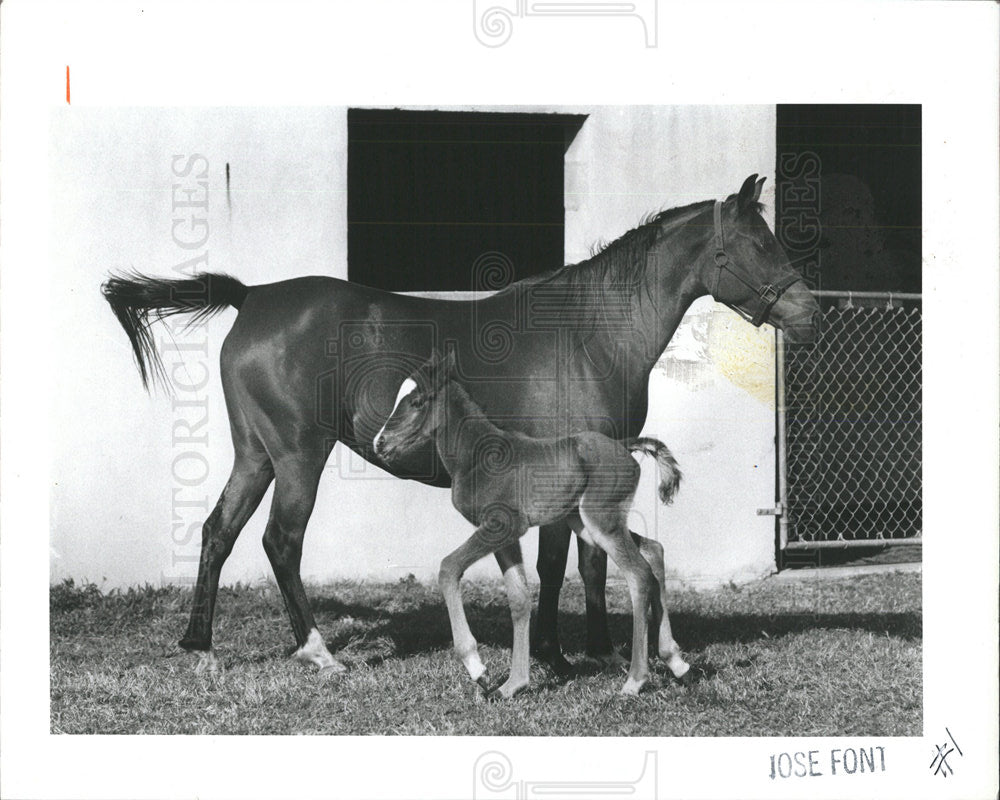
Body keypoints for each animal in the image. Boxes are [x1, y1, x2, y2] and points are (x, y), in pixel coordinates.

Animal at [372, 354, 692, 696]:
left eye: (417, 401)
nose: (380, 443)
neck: (478, 456)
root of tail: (624, 445)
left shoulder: (502, 525)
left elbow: (448, 568)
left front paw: (477, 669)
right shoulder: (506, 536)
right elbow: (519, 598)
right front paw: (512, 685)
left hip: (600, 521)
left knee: (639, 574)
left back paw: (635, 680)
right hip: (587, 523)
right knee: (653, 550)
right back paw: (676, 661)